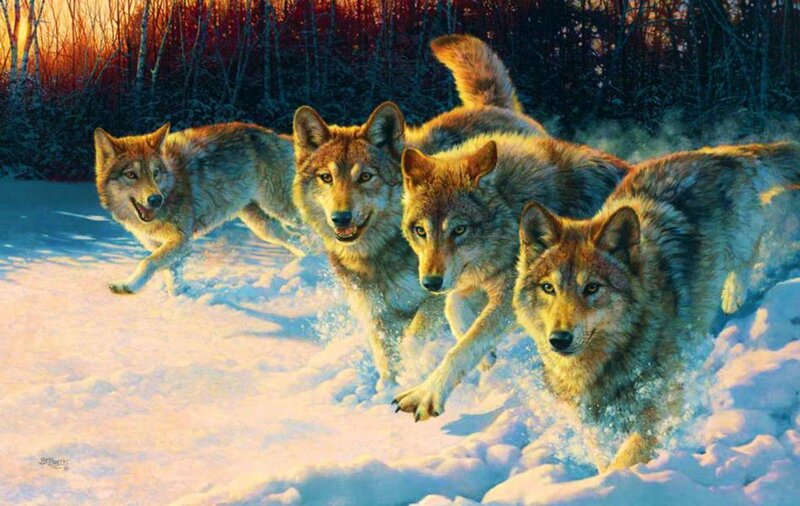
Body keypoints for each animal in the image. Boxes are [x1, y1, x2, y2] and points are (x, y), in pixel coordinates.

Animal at [94, 122, 305, 295]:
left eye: (155, 173)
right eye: (131, 175)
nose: (155, 199)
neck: (171, 187)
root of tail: (279, 136)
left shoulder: (181, 239)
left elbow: (147, 262)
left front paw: (128, 286)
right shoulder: (159, 244)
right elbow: (170, 274)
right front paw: (179, 301)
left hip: (282, 209)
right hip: (263, 226)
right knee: (295, 239)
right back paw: (307, 262)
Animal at [292, 34, 548, 384]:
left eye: (365, 176)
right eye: (326, 177)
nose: (340, 218)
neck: (379, 254)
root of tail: (492, 105)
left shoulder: (432, 299)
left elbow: (414, 340)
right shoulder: (378, 316)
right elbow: (387, 360)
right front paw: (387, 389)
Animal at [392, 134, 630, 421]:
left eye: (459, 230)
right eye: (420, 231)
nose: (430, 283)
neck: (512, 208)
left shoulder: (510, 294)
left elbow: (464, 345)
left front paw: (427, 394)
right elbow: (454, 307)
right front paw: (486, 358)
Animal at [513, 142, 800, 472]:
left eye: (592, 288)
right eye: (549, 288)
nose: (559, 340)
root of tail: (713, 153)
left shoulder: (660, 404)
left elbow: (627, 458)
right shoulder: (591, 421)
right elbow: (602, 454)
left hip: (739, 240)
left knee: (750, 251)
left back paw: (732, 297)